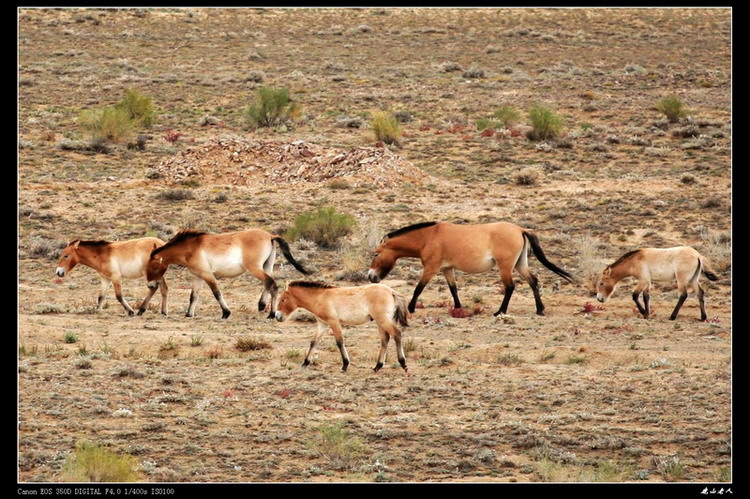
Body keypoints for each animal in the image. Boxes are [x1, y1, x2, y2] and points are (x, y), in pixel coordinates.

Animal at [147, 229, 312, 318]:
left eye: (154, 267)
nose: (151, 285)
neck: (191, 247)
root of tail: (270, 236)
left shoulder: (207, 275)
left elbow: (216, 293)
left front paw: (226, 313)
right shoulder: (197, 276)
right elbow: (193, 296)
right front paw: (189, 314)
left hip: (255, 268)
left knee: (271, 283)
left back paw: (270, 313)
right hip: (266, 266)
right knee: (269, 283)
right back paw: (263, 307)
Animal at [274, 284, 408, 374]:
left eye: (283, 300)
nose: (277, 316)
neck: (320, 297)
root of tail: (391, 291)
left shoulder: (334, 322)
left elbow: (339, 342)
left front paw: (345, 366)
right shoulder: (322, 324)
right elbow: (314, 342)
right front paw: (304, 363)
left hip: (382, 320)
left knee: (396, 333)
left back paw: (403, 364)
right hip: (380, 322)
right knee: (385, 339)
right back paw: (377, 367)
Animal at [368, 222, 576, 316]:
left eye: (376, 254)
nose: (371, 276)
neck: (429, 237)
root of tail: (520, 229)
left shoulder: (431, 268)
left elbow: (419, 287)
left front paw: (410, 308)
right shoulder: (447, 269)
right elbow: (453, 289)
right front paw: (458, 308)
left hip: (505, 266)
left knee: (510, 287)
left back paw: (500, 312)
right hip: (520, 264)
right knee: (533, 281)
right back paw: (539, 310)